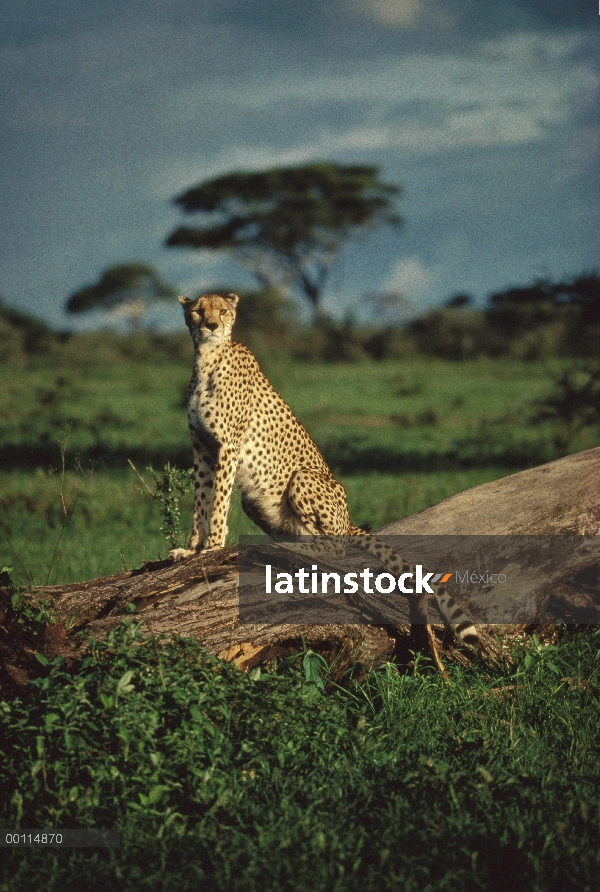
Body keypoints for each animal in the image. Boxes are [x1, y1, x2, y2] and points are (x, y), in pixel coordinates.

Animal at [170, 292, 478, 648]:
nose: (211, 325)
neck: (207, 359)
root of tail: (348, 522)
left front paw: (213, 547)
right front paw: (192, 548)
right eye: (197, 311)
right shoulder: (202, 450)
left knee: (334, 549)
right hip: (254, 501)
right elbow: (200, 501)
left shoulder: (227, 447)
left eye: (222, 310)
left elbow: (218, 504)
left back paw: (287, 547)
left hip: (303, 478)